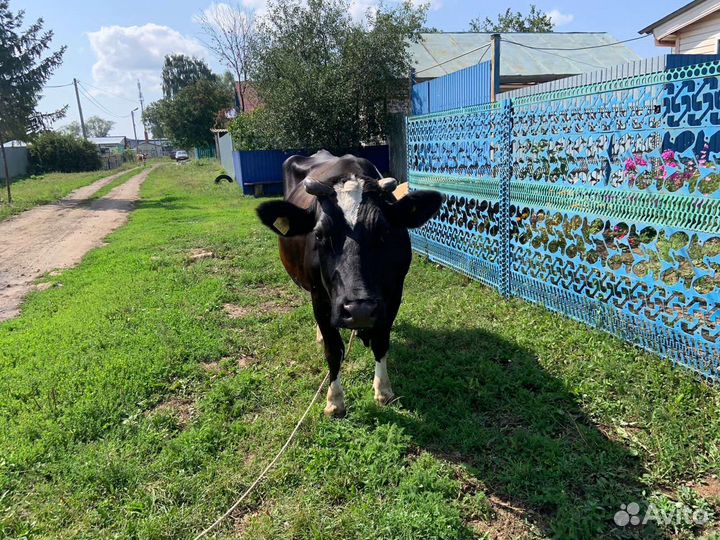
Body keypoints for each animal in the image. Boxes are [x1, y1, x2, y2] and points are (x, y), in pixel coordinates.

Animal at [256, 150, 442, 417]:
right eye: (319, 234)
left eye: (385, 232)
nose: (359, 310)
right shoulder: (320, 299)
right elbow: (334, 350)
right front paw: (335, 400)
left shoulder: (393, 295)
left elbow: (381, 342)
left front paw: (383, 390)